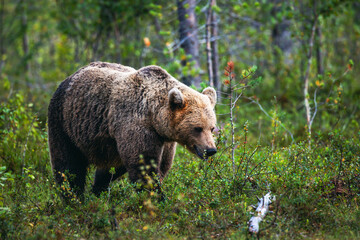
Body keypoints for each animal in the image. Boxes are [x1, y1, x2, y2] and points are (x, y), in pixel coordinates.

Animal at [47, 61, 217, 197]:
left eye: (212, 128)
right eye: (197, 128)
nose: (211, 150)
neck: (153, 116)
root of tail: (68, 78)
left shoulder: (165, 141)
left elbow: (162, 166)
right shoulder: (136, 125)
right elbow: (144, 167)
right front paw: (157, 198)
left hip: (108, 144)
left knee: (110, 169)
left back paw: (97, 191)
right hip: (64, 122)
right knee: (67, 164)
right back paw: (72, 197)